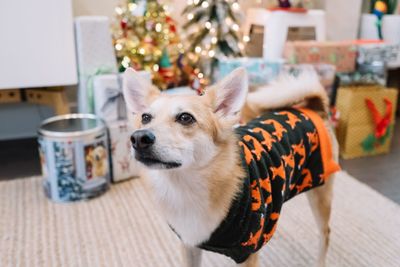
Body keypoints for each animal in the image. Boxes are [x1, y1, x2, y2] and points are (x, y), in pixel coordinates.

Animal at [122, 67, 340, 267]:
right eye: (145, 118)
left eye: (185, 118)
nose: (139, 138)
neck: (185, 187)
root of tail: (312, 108)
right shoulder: (189, 244)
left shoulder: (247, 254)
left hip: (320, 193)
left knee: (326, 234)